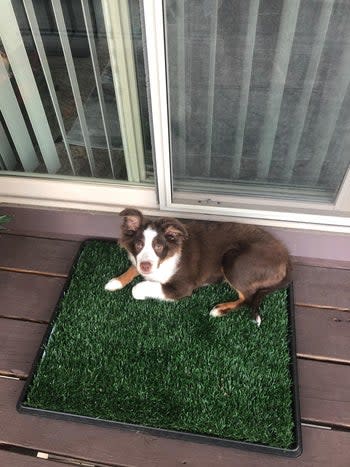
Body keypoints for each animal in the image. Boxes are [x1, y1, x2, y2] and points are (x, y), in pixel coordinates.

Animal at [105, 208, 292, 326]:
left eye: (158, 246)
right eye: (138, 245)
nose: (146, 267)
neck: (166, 258)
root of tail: (286, 257)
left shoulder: (182, 287)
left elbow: (139, 288)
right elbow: (133, 267)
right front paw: (116, 281)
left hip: (233, 261)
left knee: (247, 298)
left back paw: (220, 310)